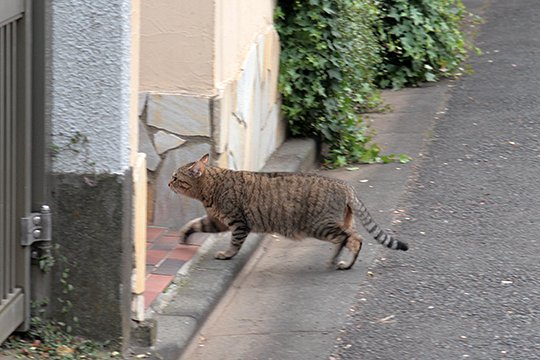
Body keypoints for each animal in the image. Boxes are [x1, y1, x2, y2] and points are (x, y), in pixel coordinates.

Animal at [167, 153, 408, 268]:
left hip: (321, 226)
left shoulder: (237, 223)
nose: (168, 183)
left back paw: (334, 261)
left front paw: (227, 254)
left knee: (345, 238)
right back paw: (346, 264)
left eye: (176, 178)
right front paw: (184, 236)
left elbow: (235, 243)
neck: (210, 189)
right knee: (357, 239)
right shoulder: (216, 221)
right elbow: (194, 224)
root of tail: (345, 186)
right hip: (343, 222)